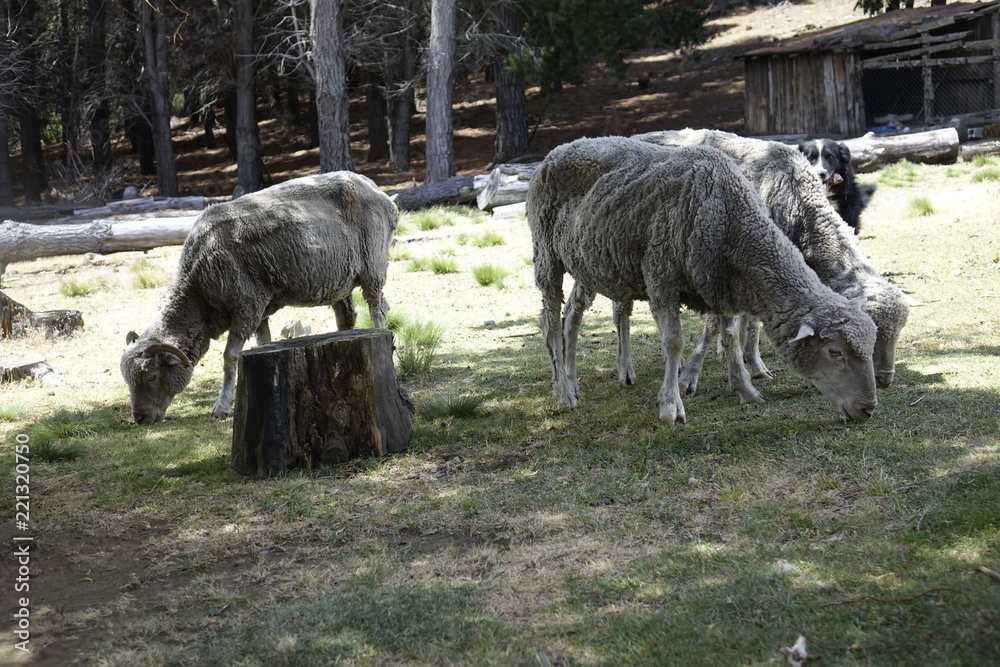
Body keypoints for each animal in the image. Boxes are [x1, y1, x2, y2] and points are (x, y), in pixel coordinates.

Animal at [120, 172, 398, 424]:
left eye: (151, 376)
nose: (140, 418)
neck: (198, 291)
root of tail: (380, 192)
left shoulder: (247, 305)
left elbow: (230, 358)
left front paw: (222, 405)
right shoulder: (259, 309)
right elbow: (263, 344)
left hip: (373, 265)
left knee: (378, 308)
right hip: (340, 278)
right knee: (346, 316)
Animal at [527, 136, 878, 424]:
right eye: (835, 351)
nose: (869, 409)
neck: (730, 217)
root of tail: (558, 149)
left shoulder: (720, 285)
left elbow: (730, 336)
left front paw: (745, 389)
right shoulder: (661, 278)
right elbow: (674, 343)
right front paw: (671, 406)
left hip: (589, 262)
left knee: (572, 316)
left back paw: (573, 382)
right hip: (546, 254)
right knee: (551, 322)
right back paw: (564, 394)